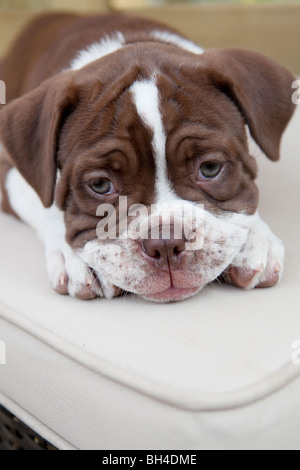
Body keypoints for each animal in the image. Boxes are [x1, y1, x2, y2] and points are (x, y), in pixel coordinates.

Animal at [0, 14, 296, 302]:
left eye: (210, 168)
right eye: (100, 185)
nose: (165, 243)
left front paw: (257, 239)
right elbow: (46, 203)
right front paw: (73, 258)